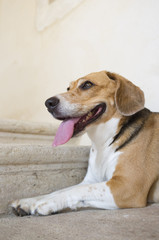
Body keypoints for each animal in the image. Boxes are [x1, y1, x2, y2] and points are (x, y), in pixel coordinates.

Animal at [11, 71, 159, 216]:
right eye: (68, 88)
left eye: (87, 85)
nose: (49, 103)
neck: (104, 142)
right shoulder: (92, 180)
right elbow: (62, 190)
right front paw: (29, 201)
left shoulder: (127, 186)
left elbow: (76, 191)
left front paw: (47, 203)